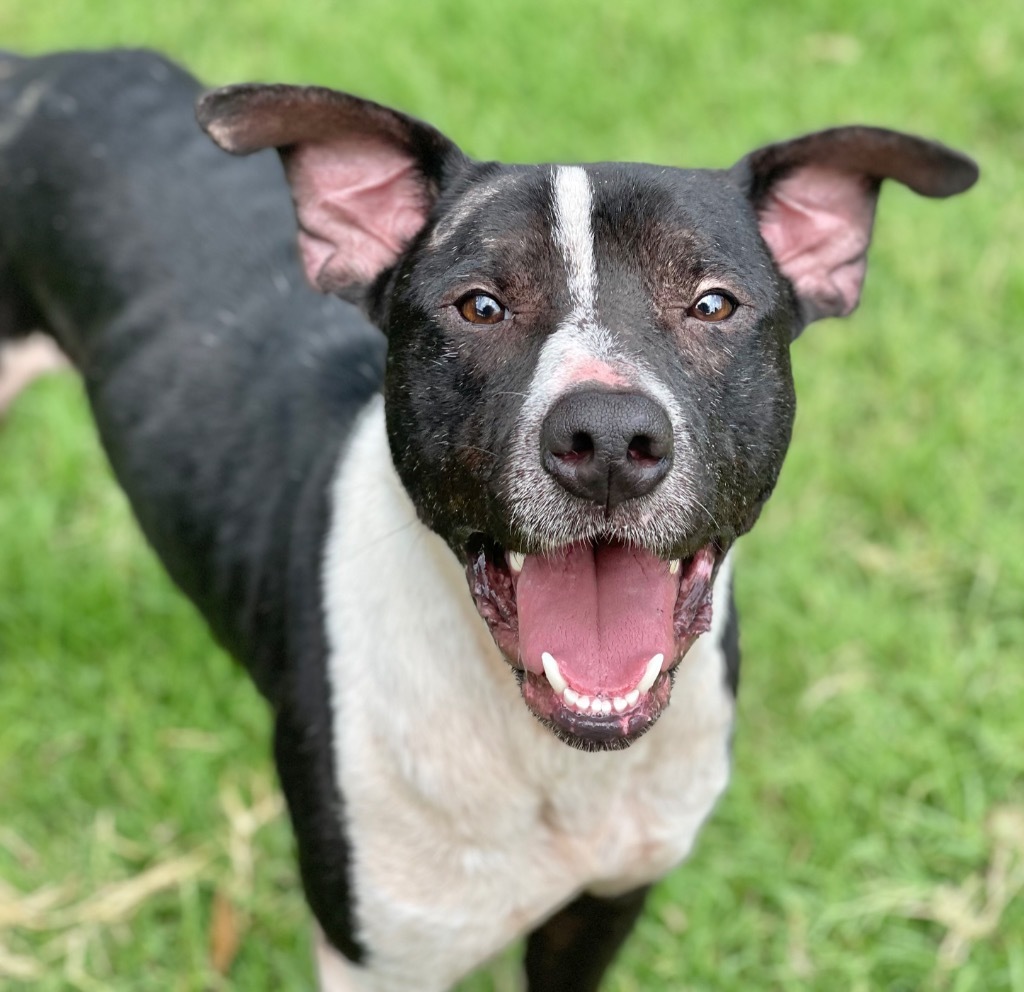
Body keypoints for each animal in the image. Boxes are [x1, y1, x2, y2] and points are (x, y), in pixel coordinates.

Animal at [0, 50, 974, 990]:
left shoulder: (607, 901)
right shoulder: (380, 960)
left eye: (712, 303)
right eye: (479, 305)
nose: (607, 437)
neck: (551, 757)